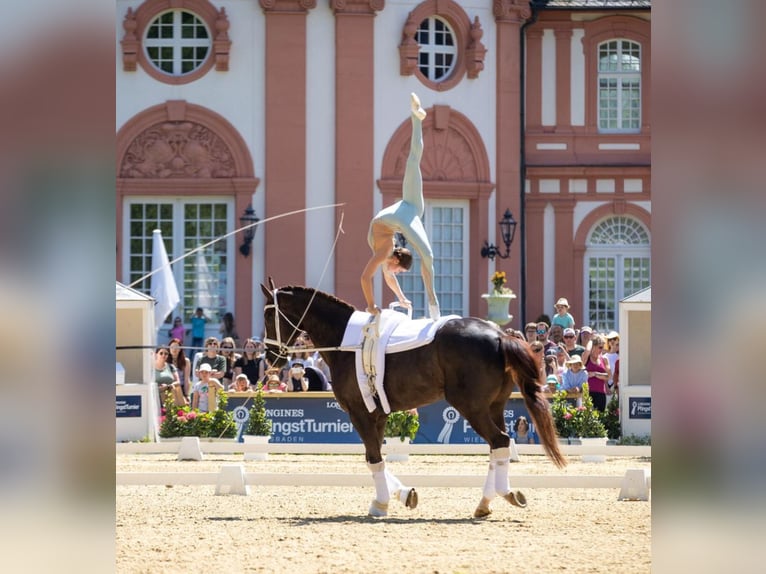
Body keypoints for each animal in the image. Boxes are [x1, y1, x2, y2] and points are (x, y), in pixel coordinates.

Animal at [260, 282, 568, 520]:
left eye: (268, 316)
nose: (271, 357)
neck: (346, 342)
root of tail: (500, 334)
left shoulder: (359, 412)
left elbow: (372, 458)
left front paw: (381, 503)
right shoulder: (379, 414)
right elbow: (378, 457)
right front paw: (403, 495)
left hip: (472, 407)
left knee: (500, 441)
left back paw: (504, 494)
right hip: (494, 407)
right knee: (498, 447)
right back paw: (484, 504)